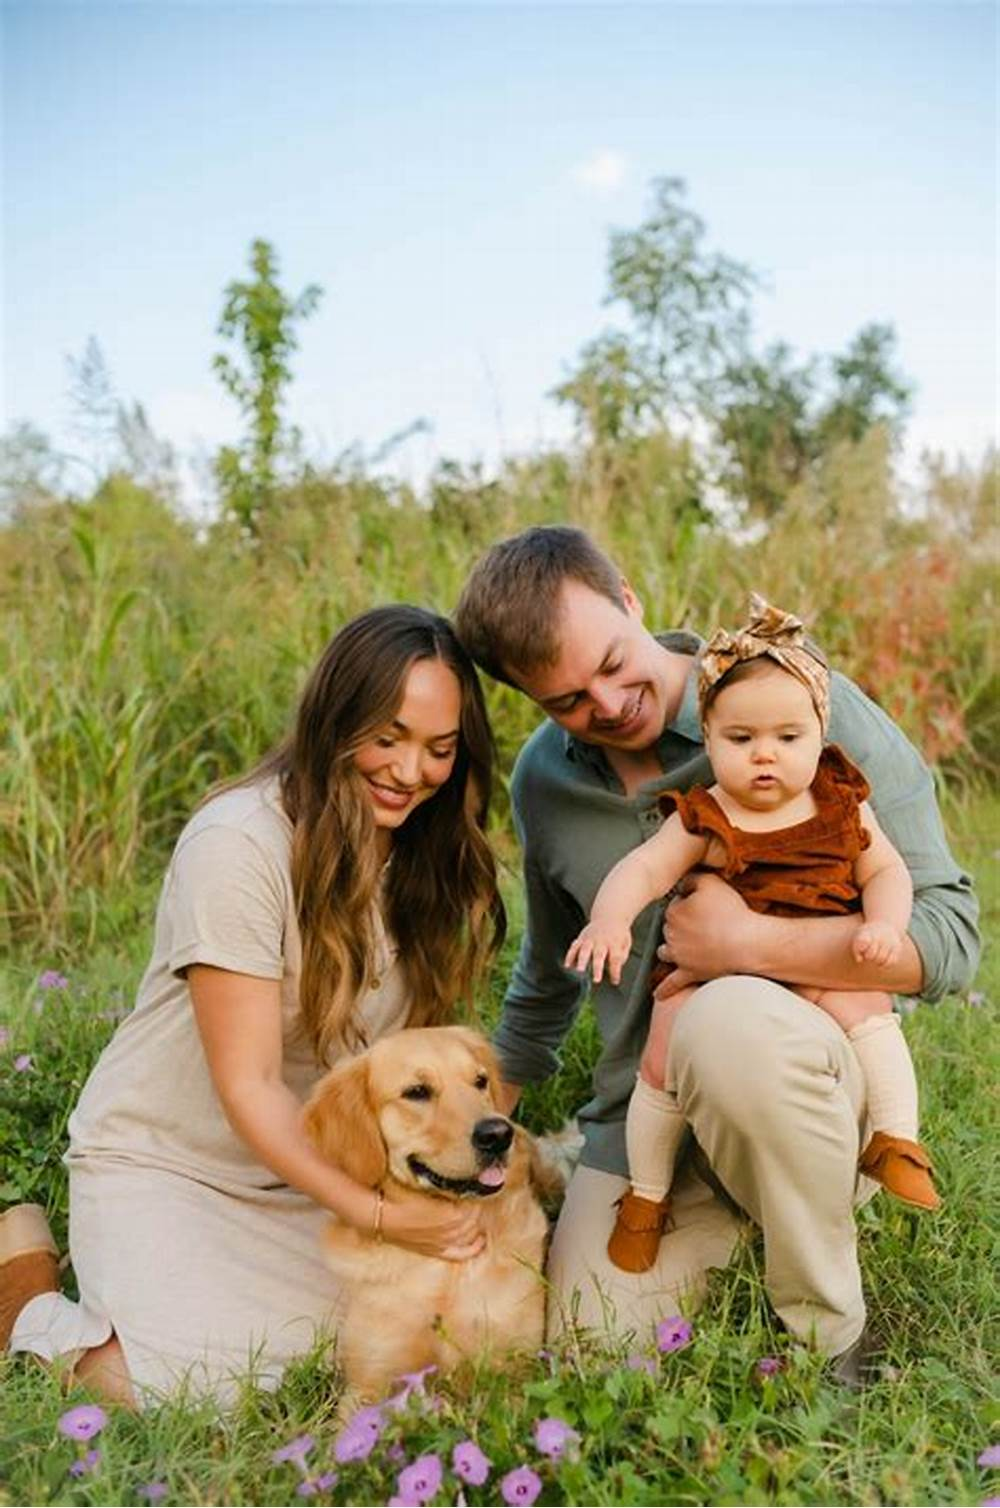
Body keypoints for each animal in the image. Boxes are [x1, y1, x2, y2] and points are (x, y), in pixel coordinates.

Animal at [304, 1025, 555, 1399]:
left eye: (480, 1081)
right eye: (417, 1092)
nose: (498, 1134)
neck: (446, 1272)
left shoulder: (517, 1370)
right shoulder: (368, 1383)